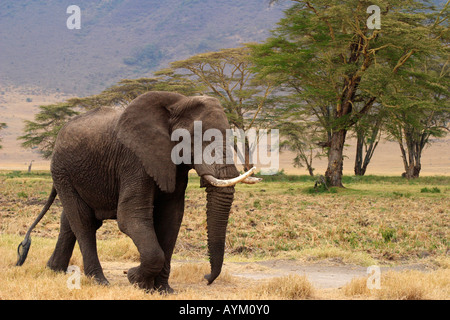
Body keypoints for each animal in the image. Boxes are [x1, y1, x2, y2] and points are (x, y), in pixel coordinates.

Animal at [15, 90, 260, 292]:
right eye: (200, 139)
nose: (206, 278)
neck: (177, 103)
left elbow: (171, 218)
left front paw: (162, 290)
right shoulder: (134, 160)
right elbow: (130, 216)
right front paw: (135, 279)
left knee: (70, 220)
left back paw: (53, 270)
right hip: (62, 171)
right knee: (83, 222)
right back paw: (100, 281)